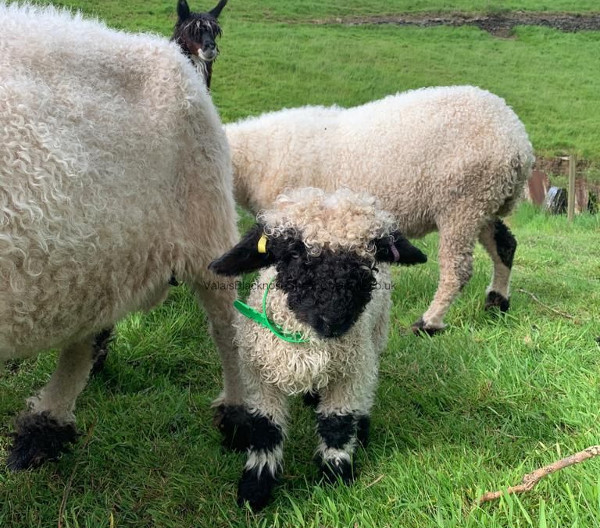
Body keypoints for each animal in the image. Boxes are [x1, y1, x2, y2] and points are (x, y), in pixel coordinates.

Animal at [1, 3, 244, 470]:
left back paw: (241, 415)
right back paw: (45, 429)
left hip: (204, 212)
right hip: (98, 248)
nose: (209, 48)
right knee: (86, 331)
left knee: (228, 321)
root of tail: (166, 55)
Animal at [210, 188, 426, 510]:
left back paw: (361, 429)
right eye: (292, 252)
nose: (333, 320)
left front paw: (336, 479)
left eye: (370, 255)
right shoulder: (259, 376)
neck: (310, 343)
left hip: (374, 338)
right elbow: (265, 430)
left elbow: (337, 424)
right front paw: (254, 490)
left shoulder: (350, 372)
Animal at [225, 86, 536, 334]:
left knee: (457, 270)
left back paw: (428, 323)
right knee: (505, 245)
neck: (253, 161)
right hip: (485, 200)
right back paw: (497, 302)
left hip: (463, 202)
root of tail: (519, 140)